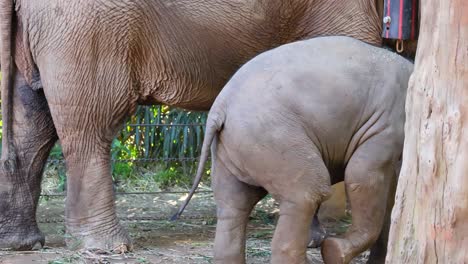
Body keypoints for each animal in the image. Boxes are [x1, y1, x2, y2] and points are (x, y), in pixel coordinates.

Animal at [0, 0, 384, 252]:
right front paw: (316, 241)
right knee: (90, 123)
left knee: (33, 117)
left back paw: (21, 243)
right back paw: (107, 248)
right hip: (89, 28)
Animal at [174, 35, 412, 264]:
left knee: (233, 205)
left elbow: (392, 191)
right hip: (272, 137)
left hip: (232, 149)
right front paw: (335, 252)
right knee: (307, 192)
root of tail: (220, 107)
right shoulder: (386, 123)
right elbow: (362, 175)